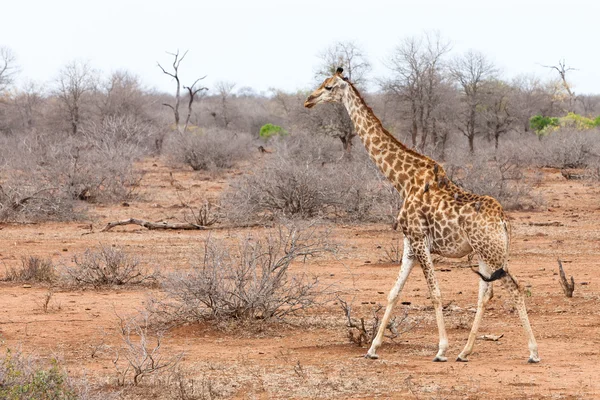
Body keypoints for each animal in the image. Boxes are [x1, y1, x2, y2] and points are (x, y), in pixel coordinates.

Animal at [304, 68, 540, 362]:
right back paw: (465, 351)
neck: (402, 180)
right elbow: (394, 292)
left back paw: (532, 352)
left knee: (515, 289)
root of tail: (504, 221)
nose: (308, 100)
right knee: (486, 294)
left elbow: (435, 293)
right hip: (486, 254)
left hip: (492, 253)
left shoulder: (419, 240)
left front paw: (441, 349)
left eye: (329, 87)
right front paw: (372, 349)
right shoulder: (409, 242)